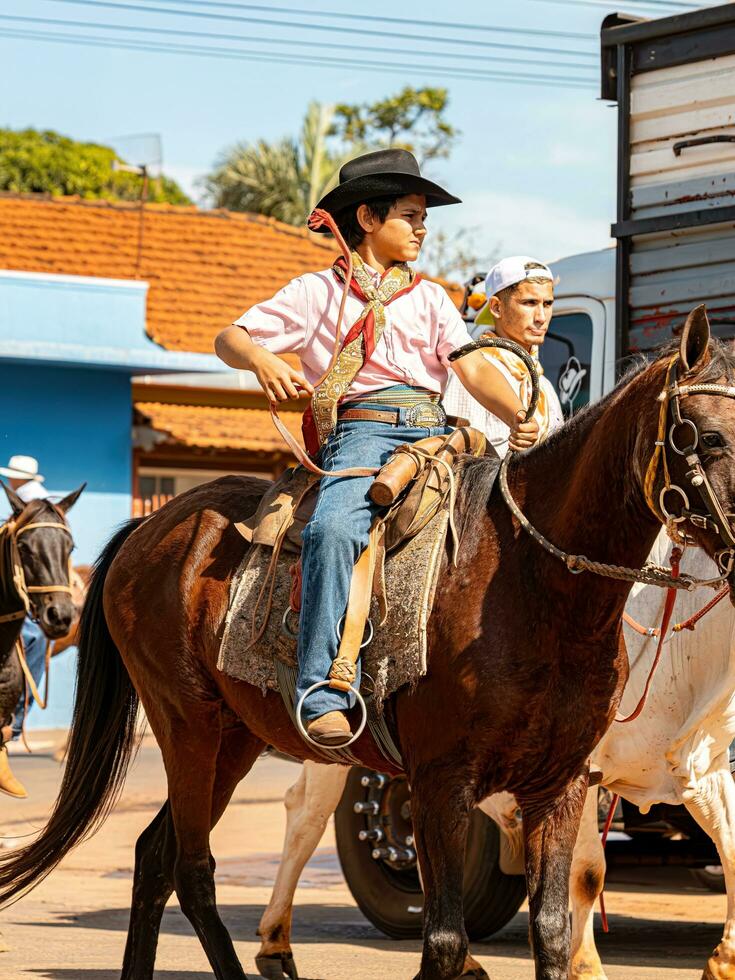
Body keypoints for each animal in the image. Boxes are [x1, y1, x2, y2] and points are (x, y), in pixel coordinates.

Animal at [1, 308, 735, 980]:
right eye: (704, 435)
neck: (535, 587)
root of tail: (150, 531)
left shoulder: (560, 784)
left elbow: (553, 931)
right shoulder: (442, 781)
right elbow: (445, 941)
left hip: (234, 737)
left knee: (157, 856)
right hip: (187, 725)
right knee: (194, 864)